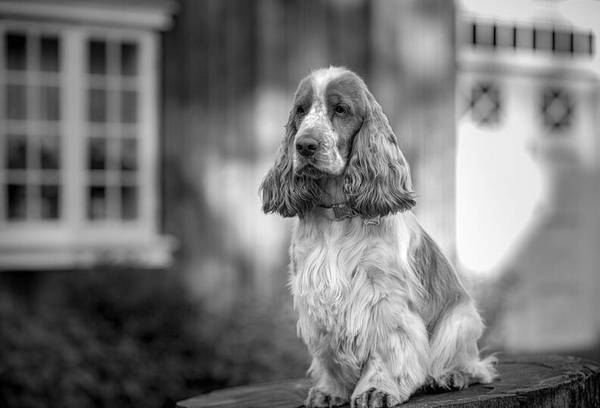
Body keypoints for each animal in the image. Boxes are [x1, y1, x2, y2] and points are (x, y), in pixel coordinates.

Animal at [258, 67, 496, 408]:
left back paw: (447, 376)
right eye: (300, 111)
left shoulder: (383, 296)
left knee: (476, 367)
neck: (337, 214)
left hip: (460, 320)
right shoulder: (315, 297)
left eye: (340, 109)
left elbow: (385, 348)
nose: (304, 145)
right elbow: (328, 355)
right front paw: (329, 392)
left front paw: (375, 390)